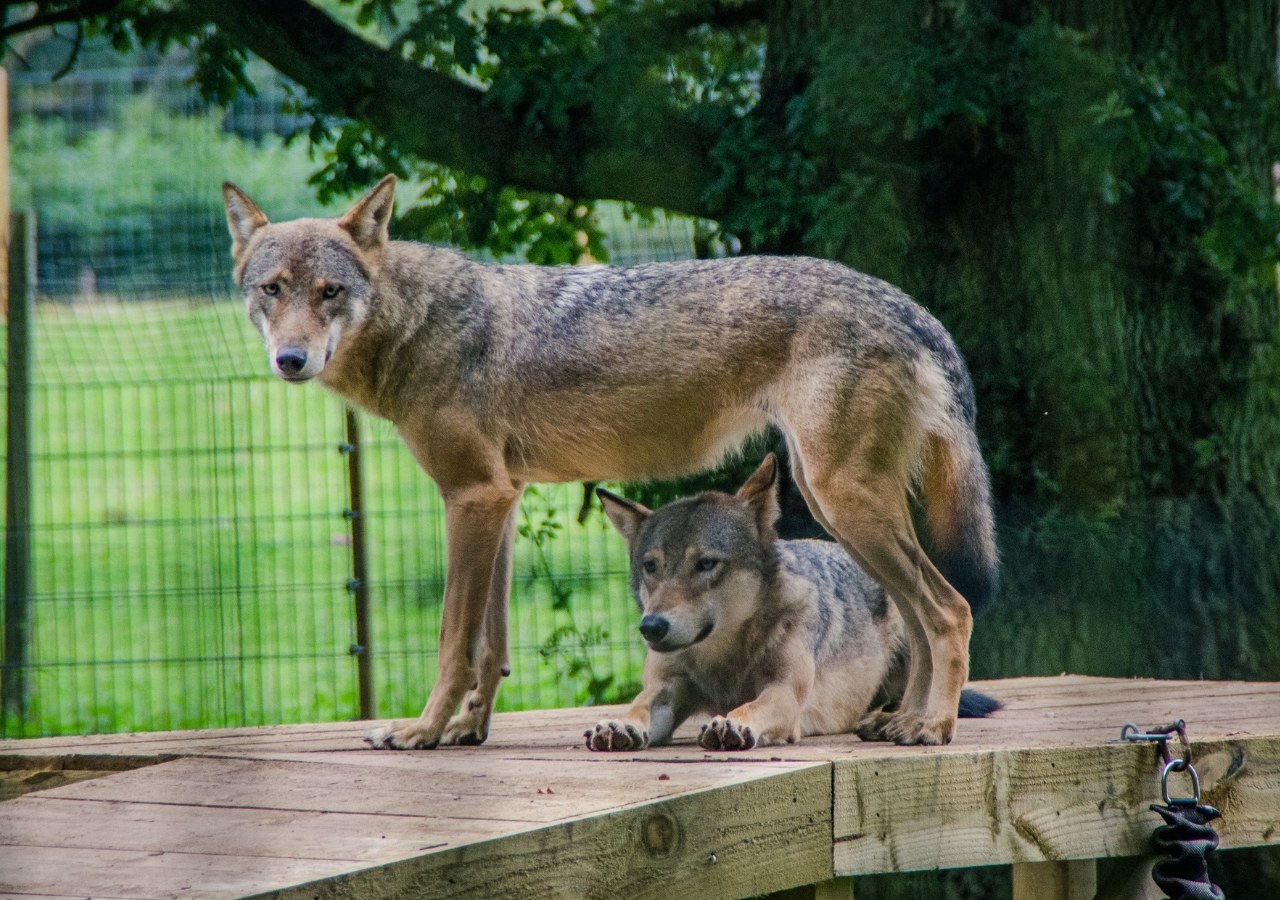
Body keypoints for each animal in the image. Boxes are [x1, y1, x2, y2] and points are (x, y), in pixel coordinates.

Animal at [588, 458, 998, 752]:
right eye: (650, 566)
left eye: (705, 563)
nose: (651, 626)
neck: (723, 658)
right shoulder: (666, 688)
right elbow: (640, 705)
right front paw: (619, 725)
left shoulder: (784, 691)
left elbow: (750, 707)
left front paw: (731, 723)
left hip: (912, 617)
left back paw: (913, 724)